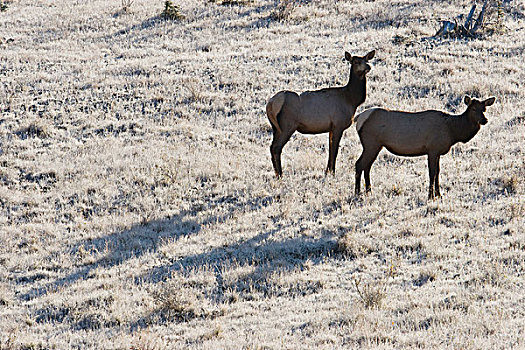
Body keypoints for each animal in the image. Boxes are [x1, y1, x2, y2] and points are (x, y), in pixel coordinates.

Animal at [352, 95, 496, 200]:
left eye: (484, 109)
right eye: (473, 109)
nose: (484, 120)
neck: (453, 131)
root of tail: (358, 118)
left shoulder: (437, 152)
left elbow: (438, 172)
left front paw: (439, 195)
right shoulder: (432, 149)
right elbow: (432, 172)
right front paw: (430, 196)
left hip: (375, 145)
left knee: (367, 166)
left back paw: (369, 191)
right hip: (371, 143)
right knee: (359, 164)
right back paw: (357, 193)